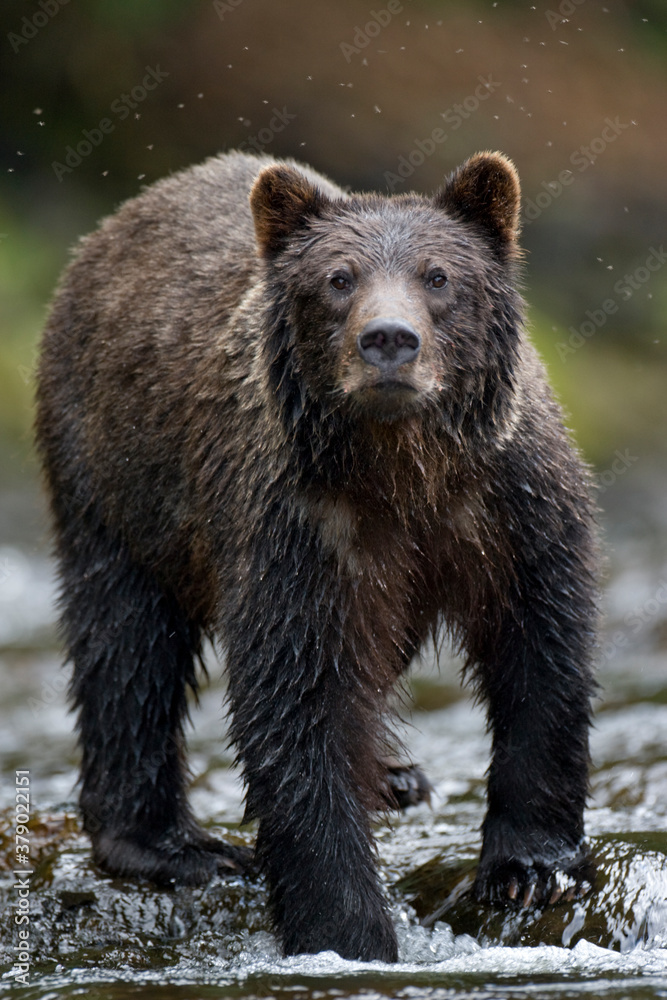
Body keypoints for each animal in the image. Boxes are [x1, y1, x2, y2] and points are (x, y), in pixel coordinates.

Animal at [35, 149, 598, 963]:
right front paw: (347, 930)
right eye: (338, 278)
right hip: (117, 480)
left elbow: (541, 654)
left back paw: (394, 775)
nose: (389, 339)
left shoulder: (509, 505)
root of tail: (116, 225)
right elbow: (297, 702)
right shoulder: (296, 527)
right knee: (126, 646)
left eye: (438, 275)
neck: (402, 468)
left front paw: (528, 869)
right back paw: (175, 845)